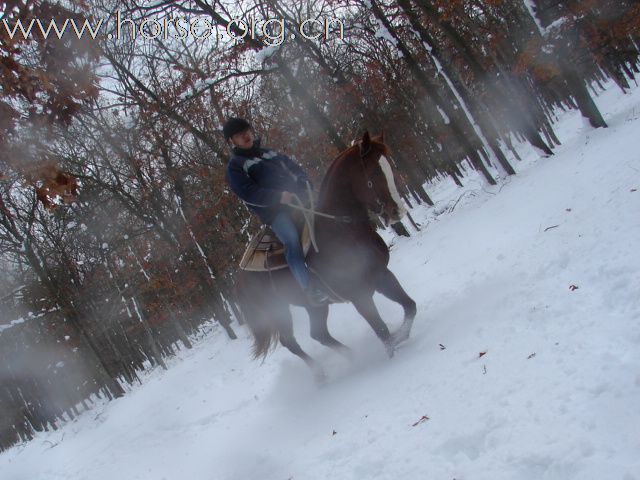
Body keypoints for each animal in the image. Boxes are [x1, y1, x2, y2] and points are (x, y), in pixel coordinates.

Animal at [235, 131, 416, 378]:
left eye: (388, 166)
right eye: (374, 173)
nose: (397, 212)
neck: (342, 230)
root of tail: (240, 276)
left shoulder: (382, 275)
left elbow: (410, 306)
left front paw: (401, 335)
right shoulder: (359, 294)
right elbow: (381, 330)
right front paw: (393, 351)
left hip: (314, 306)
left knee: (318, 334)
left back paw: (351, 357)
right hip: (279, 312)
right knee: (290, 342)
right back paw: (321, 374)